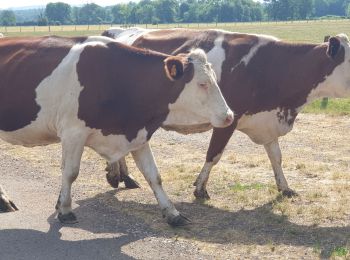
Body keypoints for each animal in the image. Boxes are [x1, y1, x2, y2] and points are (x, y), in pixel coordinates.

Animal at [0, 35, 234, 225]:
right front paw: (65, 210)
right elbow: (70, 172)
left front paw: (172, 214)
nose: (229, 116)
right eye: (202, 84)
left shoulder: (138, 133)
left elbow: (154, 175)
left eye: (215, 80)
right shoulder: (73, 132)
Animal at [103, 27, 350, 199]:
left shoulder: (267, 120)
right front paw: (200, 188)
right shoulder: (229, 118)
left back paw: (124, 177)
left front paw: (285, 187)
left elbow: (276, 157)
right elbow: (214, 154)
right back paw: (118, 176)